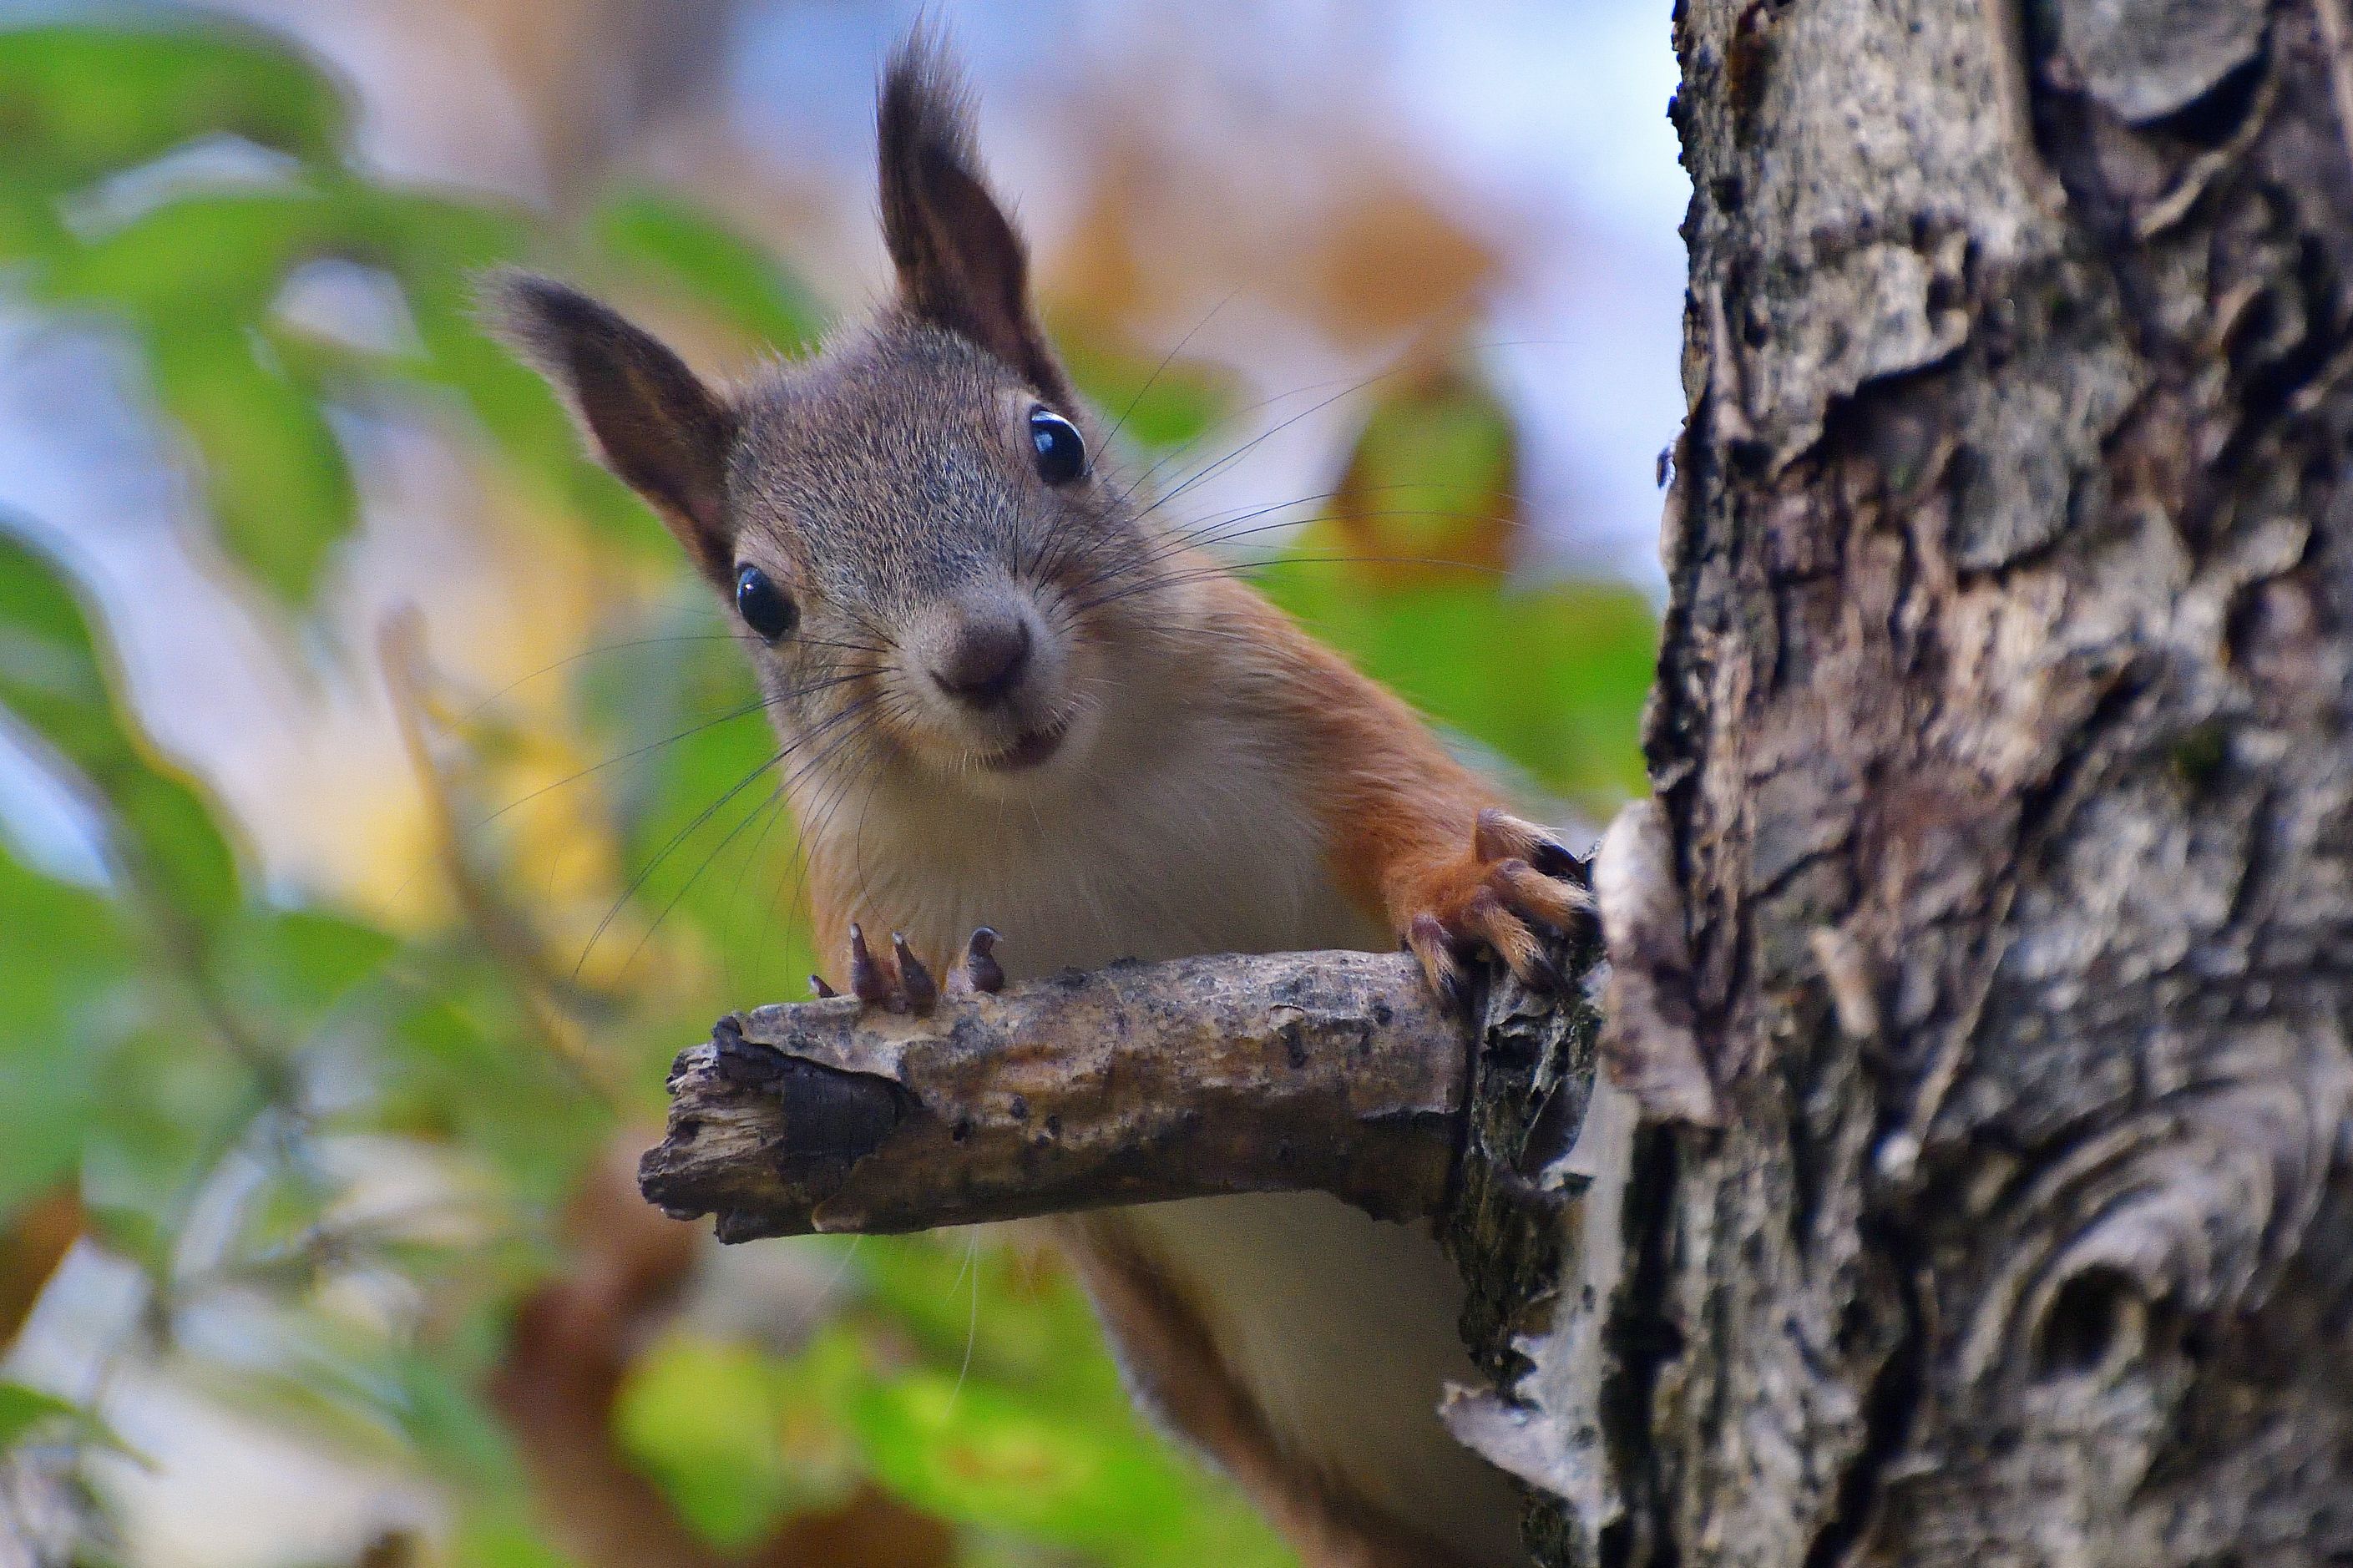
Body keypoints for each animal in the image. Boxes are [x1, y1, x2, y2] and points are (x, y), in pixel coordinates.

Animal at [496, 36, 1600, 1563]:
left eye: (1054, 442)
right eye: (759, 596)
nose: (981, 655)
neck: (1071, 798)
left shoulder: (1308, 711)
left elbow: (1414, 808)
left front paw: (1471, 886)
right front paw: (897, 989)